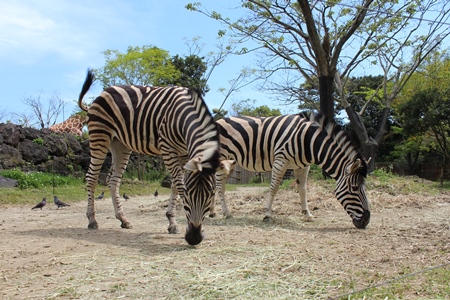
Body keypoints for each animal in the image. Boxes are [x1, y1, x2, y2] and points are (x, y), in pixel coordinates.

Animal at [77, 69, 227, 245]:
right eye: (187, 197)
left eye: (211, 195)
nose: (194, 238)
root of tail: (103, 92)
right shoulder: (167, 148)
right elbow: (179, 184)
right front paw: (175, 222)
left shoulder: (183, 154)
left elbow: (175, 184)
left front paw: (171, 222)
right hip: (100, 135)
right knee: (91, 177)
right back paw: (92, 220)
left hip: (120, 144)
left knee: (112, 180)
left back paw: (123, 219)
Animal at [214, 113, 372, 230]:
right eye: (354, 188)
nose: (366, 221)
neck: (309, 142)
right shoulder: (280, 160)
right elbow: (274, 188)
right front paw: (268, 215)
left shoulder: (302, 166)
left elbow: (303, 190)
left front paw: (307, 214)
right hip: (221, 159)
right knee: (219, 187)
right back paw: (225, 213)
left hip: (231, 163)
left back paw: (213, 212)